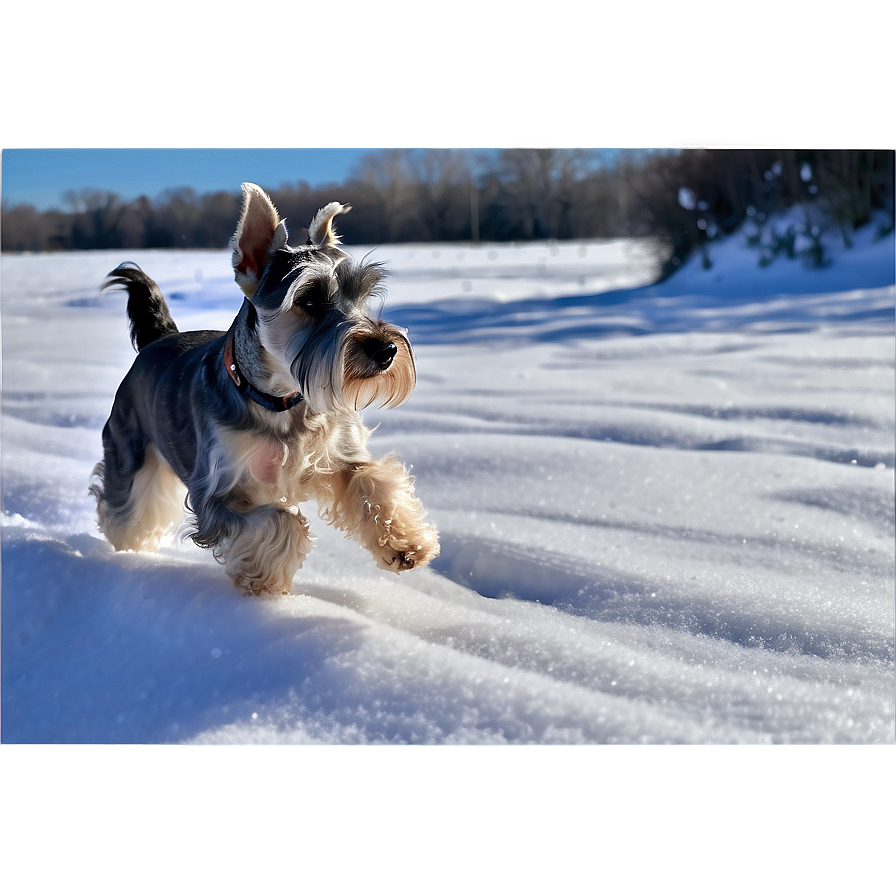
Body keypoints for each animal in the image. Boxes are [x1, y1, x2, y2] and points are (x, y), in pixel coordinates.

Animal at [89, 182, 440, 596]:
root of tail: (156, 340)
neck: (282, 400)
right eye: (309, 299)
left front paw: (406, 544)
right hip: (129, 452)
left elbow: (372, 482)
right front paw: (264, 581)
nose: (386, 350)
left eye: (363, 295)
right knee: (125, 510)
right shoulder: (217, 494)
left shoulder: (338, 458)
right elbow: (280, 520)